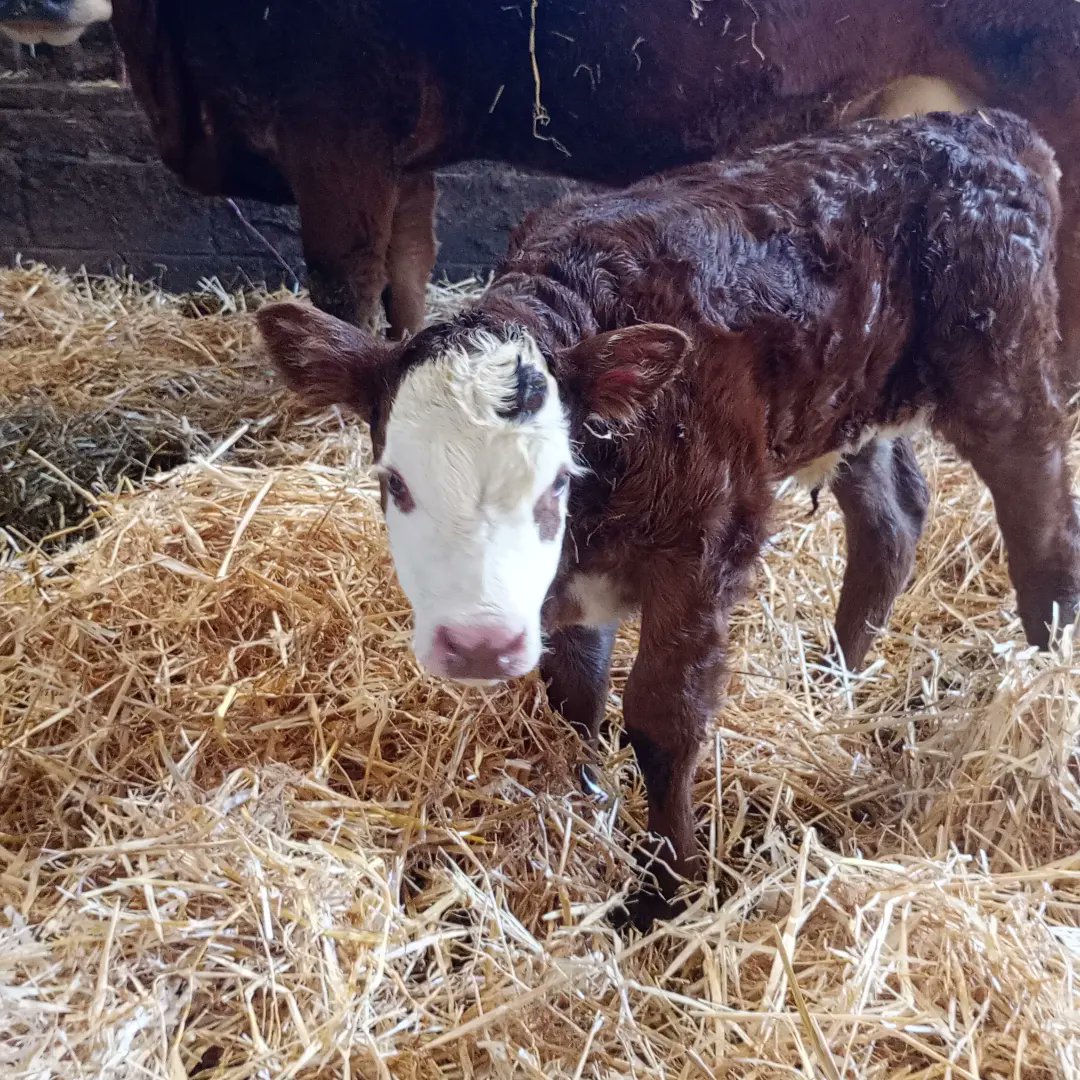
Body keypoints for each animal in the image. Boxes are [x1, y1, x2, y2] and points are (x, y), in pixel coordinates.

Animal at [259, 111, 1080, 928]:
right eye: (394, 482)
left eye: (557, 482)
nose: (479, 644)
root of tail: (986, 125)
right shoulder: (568, 582)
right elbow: (574, 699)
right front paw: (581, 804)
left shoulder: (703, 550)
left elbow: (662, 720)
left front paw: (664, 888)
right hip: (849, 400)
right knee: (893, 521)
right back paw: (831, 679)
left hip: (1003, 367)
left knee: (1042, 522)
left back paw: (1045, 671)